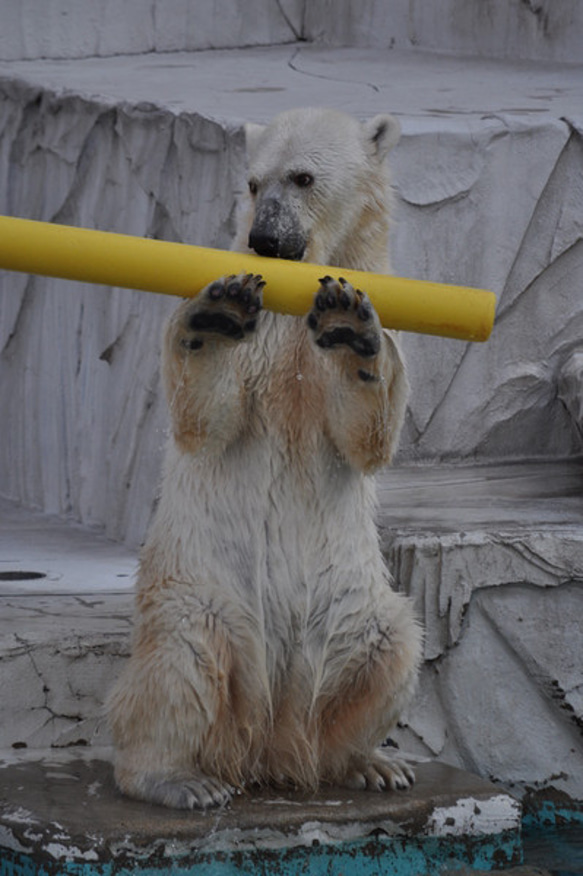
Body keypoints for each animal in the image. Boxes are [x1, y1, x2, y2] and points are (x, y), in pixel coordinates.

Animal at [107, 108, 422, 808]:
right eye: (253, 183)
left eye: (302, 177)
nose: (264, 239)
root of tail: (267, 740)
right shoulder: (261, 338)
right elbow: (207, 421)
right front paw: (216, 314)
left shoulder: (385, 311)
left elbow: (367, 436)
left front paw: (349, 327)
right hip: (203, 593)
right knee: (181, 665)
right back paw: (179, 778)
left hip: (356, 610)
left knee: (393, 646)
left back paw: (369, 762)